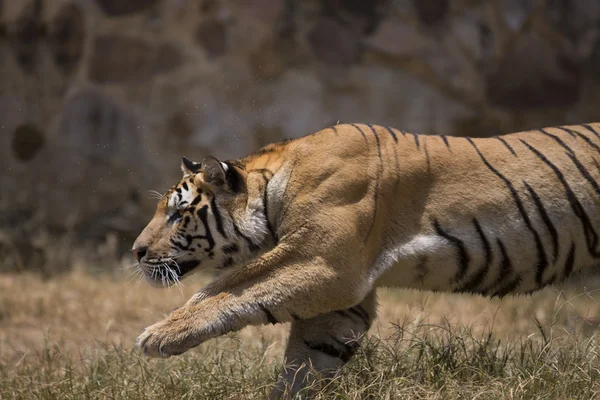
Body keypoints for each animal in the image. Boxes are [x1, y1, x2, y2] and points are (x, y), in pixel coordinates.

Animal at [134, 122, 600, 396]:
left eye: (177, 213)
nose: (136, 251)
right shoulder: (340, 292)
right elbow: (309, 358)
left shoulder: (323, 262)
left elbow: (228, 289)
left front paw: (158, 335)